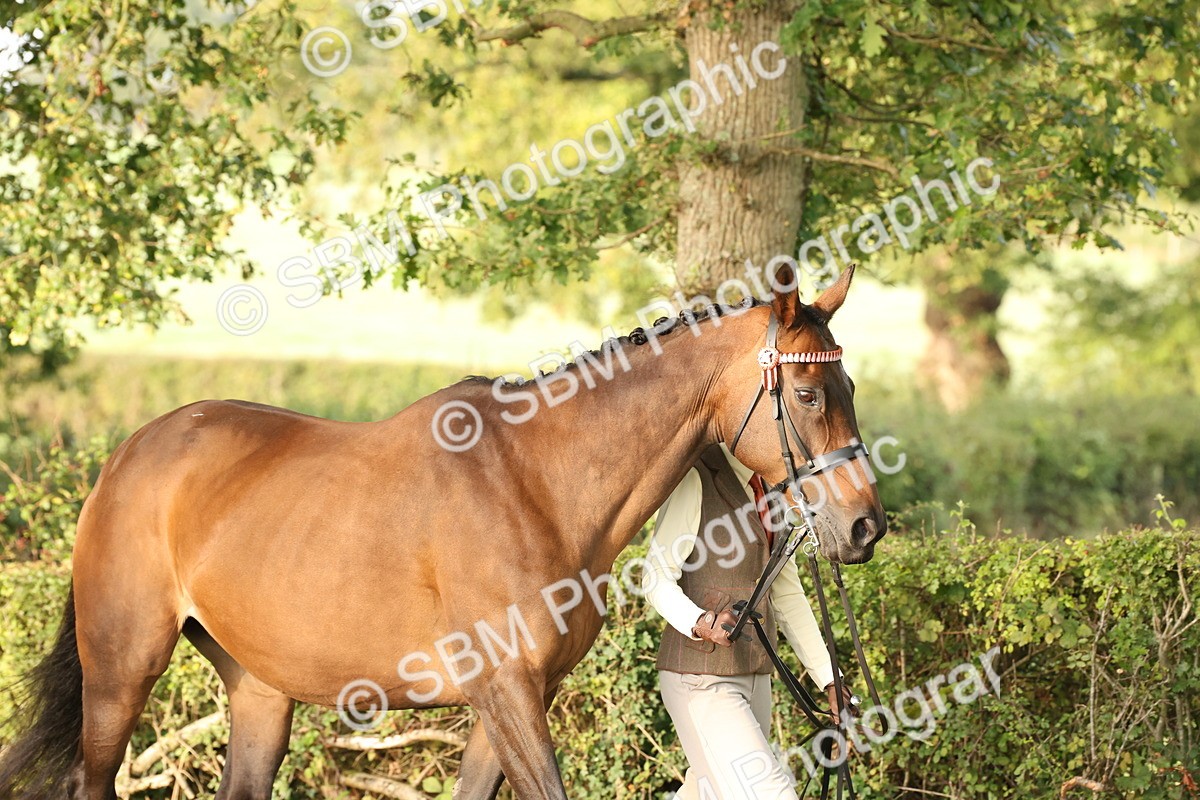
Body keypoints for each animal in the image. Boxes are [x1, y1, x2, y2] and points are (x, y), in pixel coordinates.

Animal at [0, 262, 885, 800]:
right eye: (809, 394)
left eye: (847, 383)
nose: (865, 525)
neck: (535, 482)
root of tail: (128, 457)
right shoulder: (507, 694)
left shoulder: (515, 702)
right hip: (122, 671)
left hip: (258, 691)